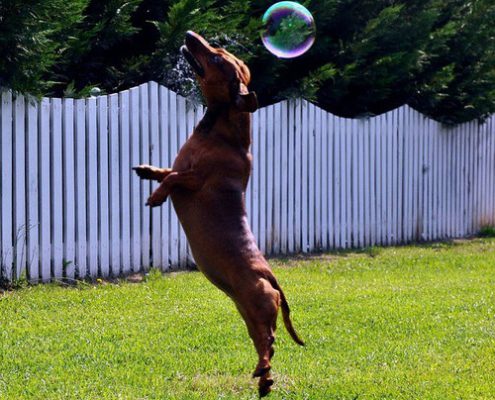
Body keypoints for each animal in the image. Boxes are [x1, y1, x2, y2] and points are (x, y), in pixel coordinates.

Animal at [134, 31, 304, 396]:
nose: (189, 35)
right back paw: (264, 379)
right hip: (247, 313)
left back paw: (264, 372)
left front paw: (157, 195)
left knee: (270, 341)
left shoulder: (195, 180)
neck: (220, 134)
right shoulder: (181, 167)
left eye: (215, 58)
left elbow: (172, 178)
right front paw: (147, 171)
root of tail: (271, 276)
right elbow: (165, 170)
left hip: (258, 305)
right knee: (266, 345)